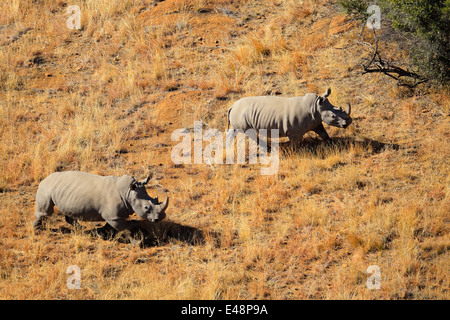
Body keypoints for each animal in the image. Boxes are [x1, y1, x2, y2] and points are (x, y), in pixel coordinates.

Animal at [32, 171, 168, 231]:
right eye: (146, 208)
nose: (160, 218)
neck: (128, 193)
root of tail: (44, 179)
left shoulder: (114, 216)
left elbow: (113, 226)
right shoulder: (114, 216)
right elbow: (126, 230)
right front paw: (138, 242)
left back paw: (81, 229)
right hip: (46, 188)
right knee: (47, 212)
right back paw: (35, 228)